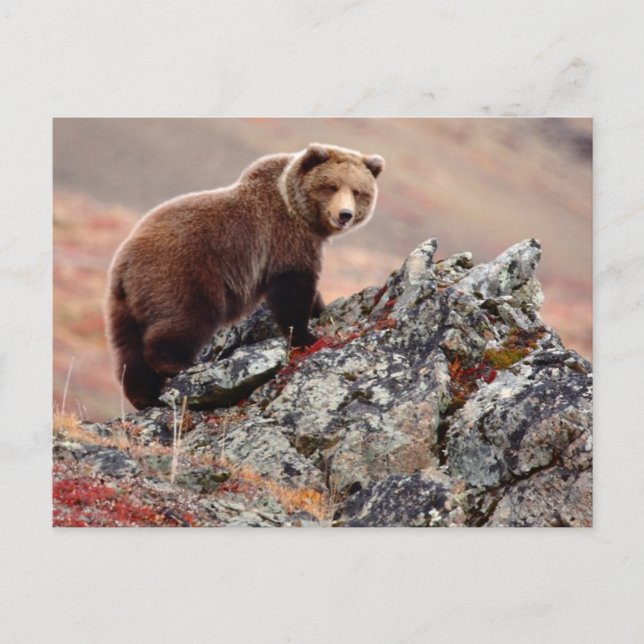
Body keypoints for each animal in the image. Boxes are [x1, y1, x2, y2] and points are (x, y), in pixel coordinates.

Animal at [105, 143, 385, 409]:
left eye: (357, 191)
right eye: (331, 187)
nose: (344, 214)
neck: (300, 212)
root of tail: (123, 264)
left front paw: (319, 310)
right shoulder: (284, 239)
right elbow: (292, 289)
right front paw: (308, 336)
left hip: (124, 305)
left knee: (129, 350)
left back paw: (143, 396)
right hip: (181, 275)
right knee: (188, 318)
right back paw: (178, 365)